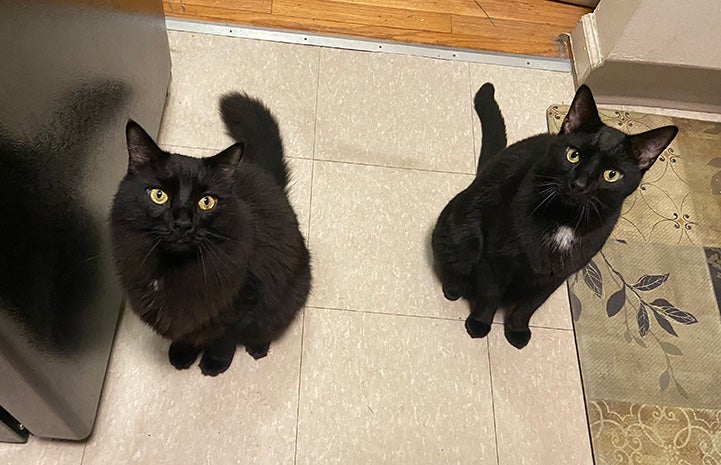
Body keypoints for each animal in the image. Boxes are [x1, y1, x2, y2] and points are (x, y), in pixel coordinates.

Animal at [109, 93, 310, 374]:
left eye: (207, 202)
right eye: (159, 195)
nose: (183, 223)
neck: (174, 269)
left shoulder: (242, 303)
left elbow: (224, 338)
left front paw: (215, 364)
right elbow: (188, 335)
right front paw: (183, 354)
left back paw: (258, 348)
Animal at [434, 82, 676, 348]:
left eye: (611, 175)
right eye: (573, 155)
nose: (578, 184)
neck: (564, 219)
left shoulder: (557, 274)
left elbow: (529, 306)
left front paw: (517, 331)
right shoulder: (497, 255)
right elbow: (490, 293)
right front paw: (479, 324)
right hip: (463, 233)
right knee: (455, 261)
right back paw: (455, 287)